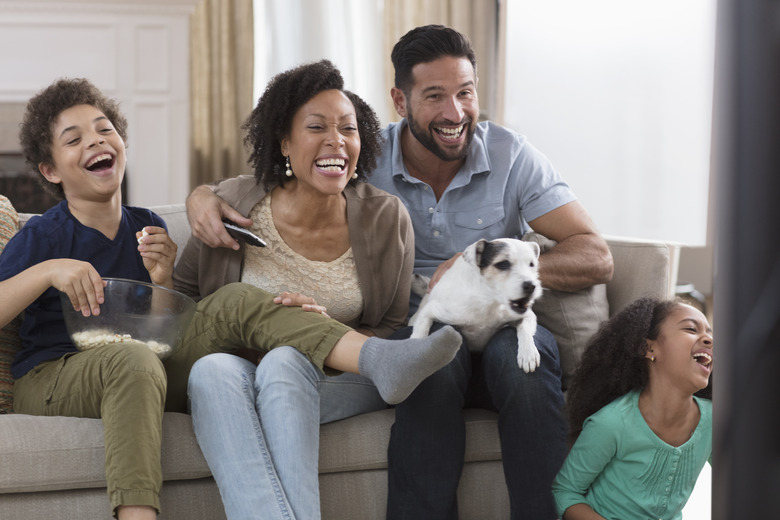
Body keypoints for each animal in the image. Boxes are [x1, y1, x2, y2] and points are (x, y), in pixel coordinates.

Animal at [408, 238, 544, 372]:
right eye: (503, 264)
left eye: (532, 264)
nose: (531, 286)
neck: (488, 302)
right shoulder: (431, 310)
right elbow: (419, 335)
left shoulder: (528, 316)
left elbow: (524, 329)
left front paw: (528, 353)